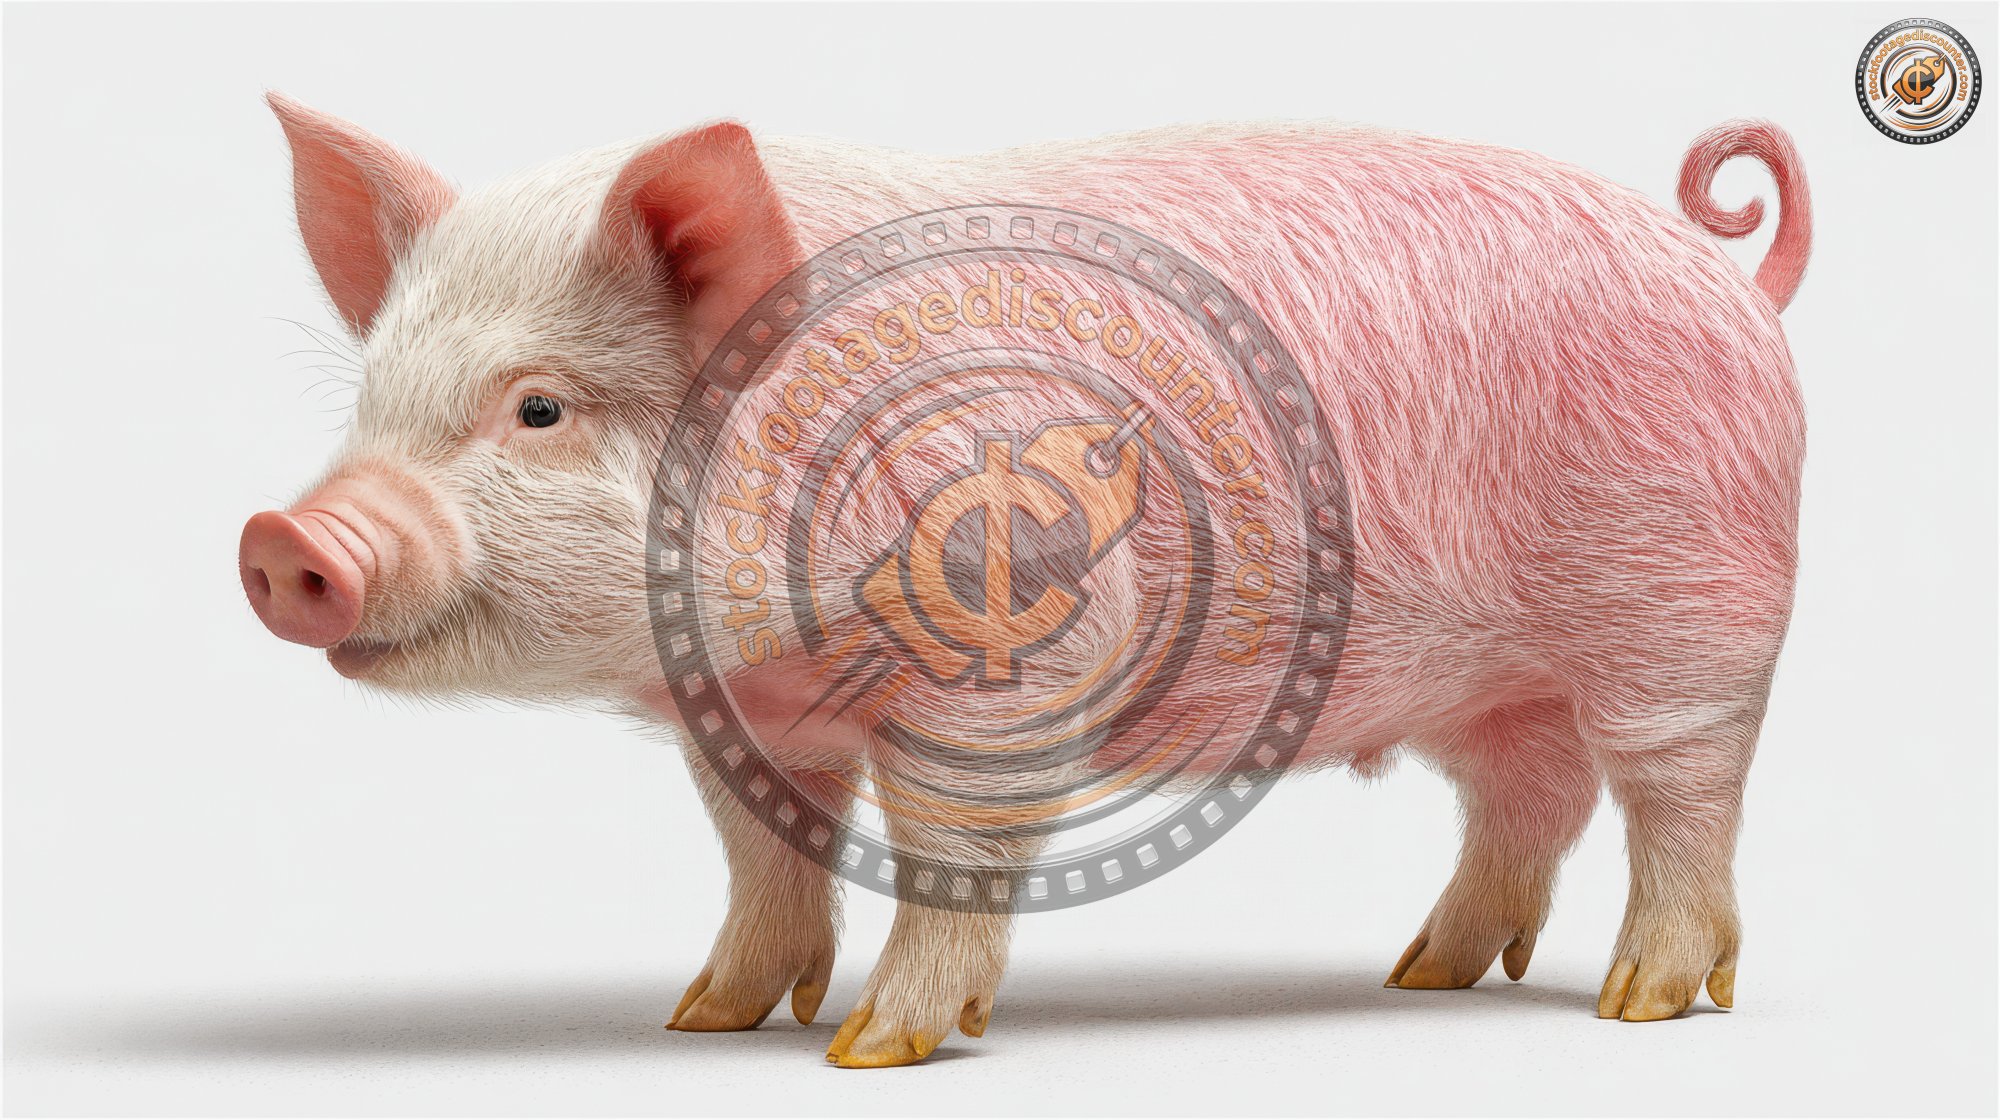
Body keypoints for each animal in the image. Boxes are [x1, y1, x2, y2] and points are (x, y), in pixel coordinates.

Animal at [239, 93, 1810, 1067]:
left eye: (539, 408)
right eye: (374, 399)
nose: (283, 540)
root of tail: (1728, 274)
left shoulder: (1018, 663)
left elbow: (956, 844)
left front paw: (872, 1047)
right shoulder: (752, 712)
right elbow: (763, 851)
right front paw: (704, 1020)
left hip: (1691, 605)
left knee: (1681, 792)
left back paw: (1635, 1008)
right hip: (1495, 679)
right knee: (1528, 794)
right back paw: (1422, 971)